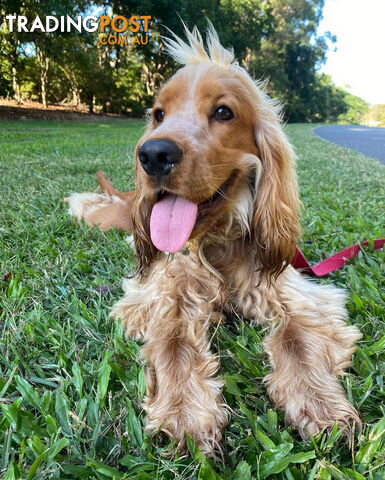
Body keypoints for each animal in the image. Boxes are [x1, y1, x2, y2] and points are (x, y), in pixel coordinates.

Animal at [66, 24, 360, 456]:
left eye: (224, 112)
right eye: (159, 114)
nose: (152, 155)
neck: (218, 241)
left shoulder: (294, 294)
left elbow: (295, 340)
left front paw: (320, 405)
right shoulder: (167, 295)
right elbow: (174, 344)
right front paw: (185, 415)